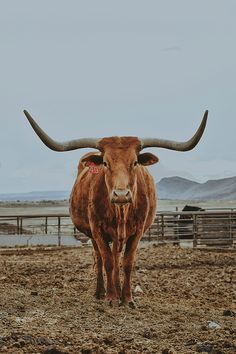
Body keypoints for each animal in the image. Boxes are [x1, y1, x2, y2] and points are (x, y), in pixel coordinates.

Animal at [23, 110, 207, 306]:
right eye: (105, 163)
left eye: (135, 163)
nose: (121, 195)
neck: (120, 212)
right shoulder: (97, 229)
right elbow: (108, 262)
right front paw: (111, 297)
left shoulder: (137, 231)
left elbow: (126, 262)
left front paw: (127, 298)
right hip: (94, 235)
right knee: (100, 258)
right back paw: (100, 292)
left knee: (116, 256)